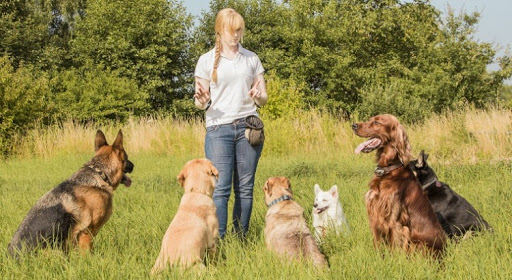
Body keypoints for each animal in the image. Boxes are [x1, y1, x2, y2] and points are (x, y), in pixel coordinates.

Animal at [8, 130, 134, 258]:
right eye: (127, 157)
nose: (133, 166)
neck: (100, 173)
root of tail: (12, 257)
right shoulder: (87, 232)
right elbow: (87, 254)